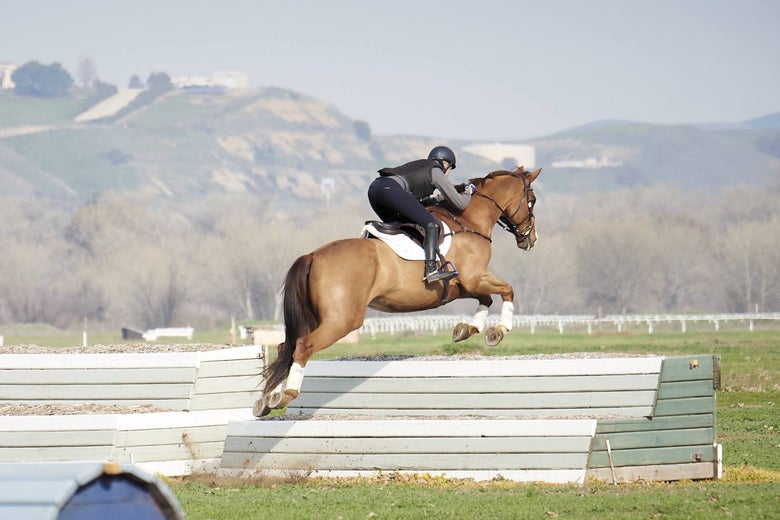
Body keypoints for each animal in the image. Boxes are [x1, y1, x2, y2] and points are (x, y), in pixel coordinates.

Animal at [255, 165, 541, 417]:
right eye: (532, 200)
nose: (530, 239)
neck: (468, 220)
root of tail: (312, 256)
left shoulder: (462, 285)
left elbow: (486, 299)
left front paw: (467, 329)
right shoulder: (474, 277)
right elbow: (508, 290)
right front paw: (498, 331)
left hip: (317, 316)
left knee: (285, 347)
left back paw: (267, 400)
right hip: (342, 320)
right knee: (302, 346)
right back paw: (287, 394)